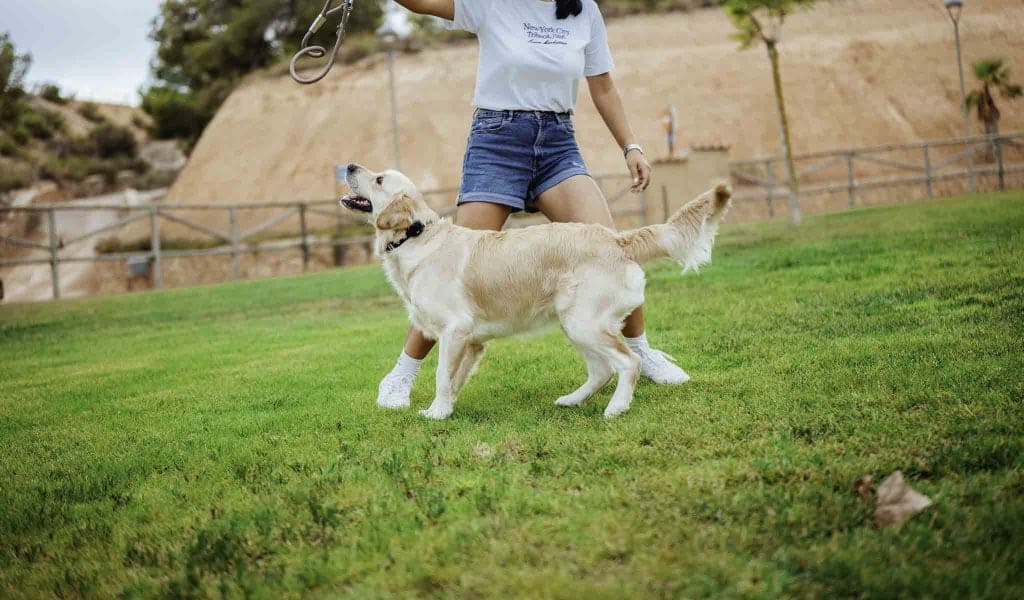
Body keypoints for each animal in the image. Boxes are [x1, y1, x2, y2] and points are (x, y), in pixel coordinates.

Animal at [339, 160, 733, 417]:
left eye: (378, 179)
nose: (350, 165)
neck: (415, 236)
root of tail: (617, 239)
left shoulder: (455, 330)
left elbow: (440, 376)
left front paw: (435, 413)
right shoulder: (471, 341)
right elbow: (453, 380)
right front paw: (444, 411)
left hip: (585, 323)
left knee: (629, 362)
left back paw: (616, 408)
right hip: (574, 323)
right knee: (602, 370)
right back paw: (572, 400)